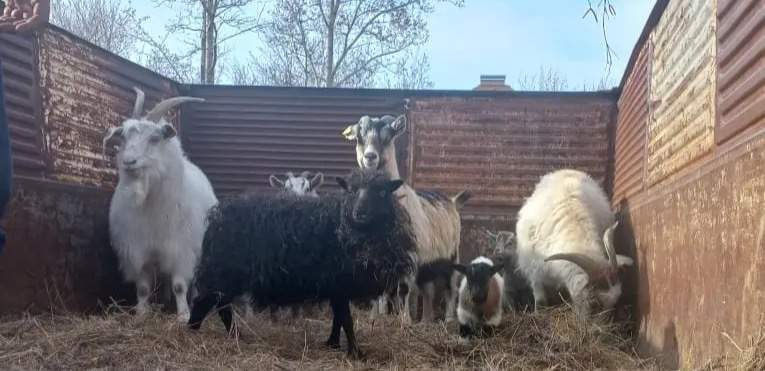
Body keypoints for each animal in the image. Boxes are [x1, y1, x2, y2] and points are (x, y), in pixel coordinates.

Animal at [104, 88, 218, 322]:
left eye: (155, 138)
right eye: (124, 137)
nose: (128, 161)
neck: (150, 204)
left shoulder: (181, 250)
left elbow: (180, 285)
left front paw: (183, 315)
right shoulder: (138, 250)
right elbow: (143, 288)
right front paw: (141, 313)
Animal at [188, 169, 414, 358]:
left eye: (382, 192)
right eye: (351, 190)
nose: (360, 213)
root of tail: (216, 217)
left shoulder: (336, 287)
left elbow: (338, 318)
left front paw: (333, 343)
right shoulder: (339, 283)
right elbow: (346, 320)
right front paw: (356, 353)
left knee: (221, 306)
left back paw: (234, 335)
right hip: (223, 272)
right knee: (205, 302)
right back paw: (192, 332)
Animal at [344, 115, 468, 324]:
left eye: (388, 137)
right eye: (359, 138)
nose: (370, 157)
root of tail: (452, 200)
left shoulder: (410, 257)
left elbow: (403, 291)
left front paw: (405, 321)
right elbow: (378, 292)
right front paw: (376, 317)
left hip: (451, 255)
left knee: (451, 288)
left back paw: (449, 319)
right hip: (427, 265)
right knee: (428, 291)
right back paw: (426, 320)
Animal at [512, 170, 632, 318]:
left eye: (614, 302)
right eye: (594, 304)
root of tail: (565, 170)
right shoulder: (534, 269)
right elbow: (540, 299)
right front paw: (539, 314)